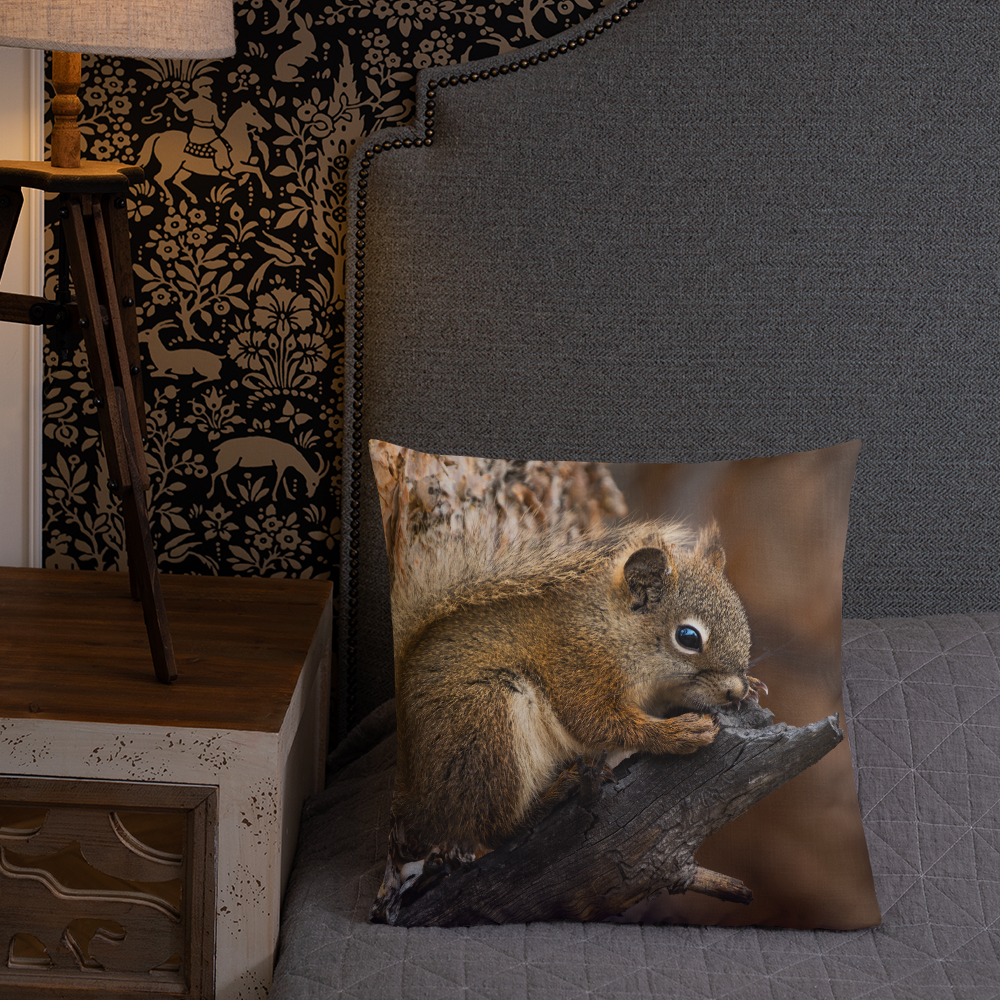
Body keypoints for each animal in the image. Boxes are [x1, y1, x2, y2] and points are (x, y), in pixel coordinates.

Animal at [387, 517, 765, 865]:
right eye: (688, 637)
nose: (735, 691)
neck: (610, 629)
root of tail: (419, 799)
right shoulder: (577, 667)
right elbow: (594, 722)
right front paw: (679, 732)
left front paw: (752, 689)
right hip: (486, 724)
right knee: (491, 828)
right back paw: (554, 795)